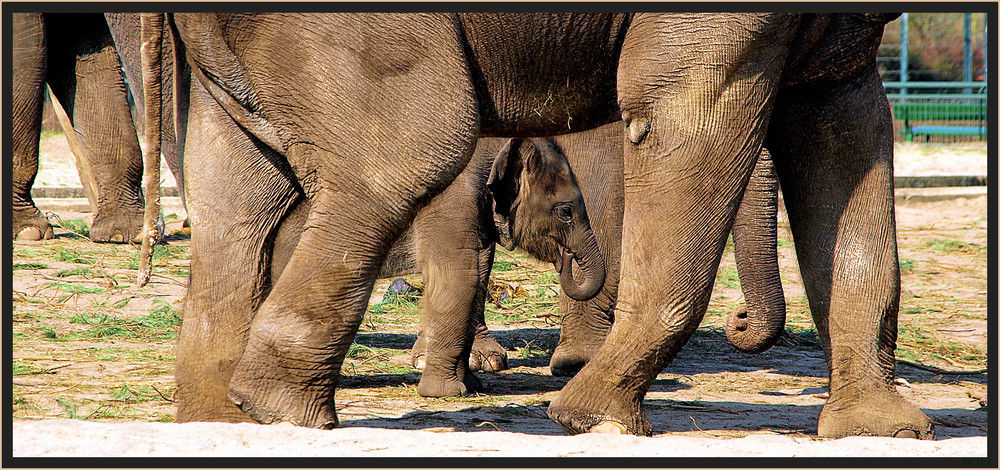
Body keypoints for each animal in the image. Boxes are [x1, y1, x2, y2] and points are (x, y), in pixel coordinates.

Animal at [139, 11, 928, 440]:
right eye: (562, 212)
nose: (739, 326)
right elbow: (683, 117)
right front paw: (587, 417)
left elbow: (844, 128)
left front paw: (883, 428)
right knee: (403, 158)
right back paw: (284, 410)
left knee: (239, 197)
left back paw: (225, 419)